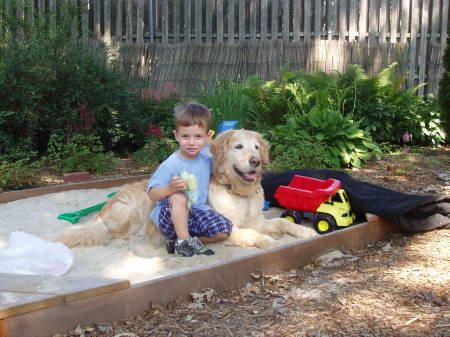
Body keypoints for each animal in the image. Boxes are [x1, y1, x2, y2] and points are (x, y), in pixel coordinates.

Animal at [53, 129, 312, 247]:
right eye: (238, 147)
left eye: (257, 147)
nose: (255, 161)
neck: (239, 193)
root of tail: (102, 212)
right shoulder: (231, 225)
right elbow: (248, 233)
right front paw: (267, 240)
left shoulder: (257, 219)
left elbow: (282, 222)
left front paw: (304, 231)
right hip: (134, 206)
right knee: (117, 232)